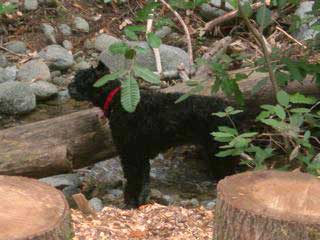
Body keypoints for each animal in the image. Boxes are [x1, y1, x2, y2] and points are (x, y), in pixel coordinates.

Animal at [69, 63, 241, 208]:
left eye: (81, 79)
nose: (69, 87)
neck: (118, 100)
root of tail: (231, 111)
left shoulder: (130, 155)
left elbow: (133, 183)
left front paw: (130, 203)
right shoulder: (141, 157)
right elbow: (144, 184)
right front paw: (141, 202)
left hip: (220, 154)